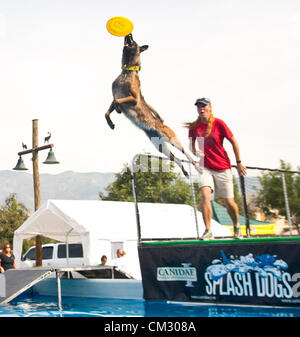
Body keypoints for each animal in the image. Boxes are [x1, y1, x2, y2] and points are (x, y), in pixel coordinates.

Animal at [105, 33, 199, 177]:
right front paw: (111, 123)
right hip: (160, 146)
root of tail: (160, 125)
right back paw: (184, 170)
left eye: (134, 41)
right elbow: (107, 111)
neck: (127, 72)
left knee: (186, 154)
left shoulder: (134, 99)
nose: (129, 34)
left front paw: (118, 110)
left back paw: (197, 167)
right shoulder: (114, 97)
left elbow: (117, 102)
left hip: (172, 140)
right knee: (175, 158)